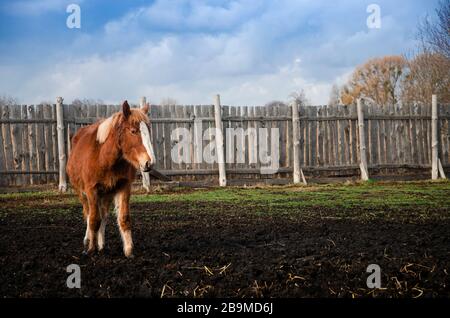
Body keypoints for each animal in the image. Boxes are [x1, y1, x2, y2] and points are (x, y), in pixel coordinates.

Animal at [67, 100, 155, 258]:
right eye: (133, 131)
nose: (149, 163)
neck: (104, 157)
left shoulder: (123, 187)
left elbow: (123, 218)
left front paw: (128, 250)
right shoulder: (91, 190)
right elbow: (93, 219)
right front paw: (91, 249)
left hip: (106, 194)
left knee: (103, 215)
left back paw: (101, 243)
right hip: (82, 193)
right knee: (89, 214)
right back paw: (88, 240)